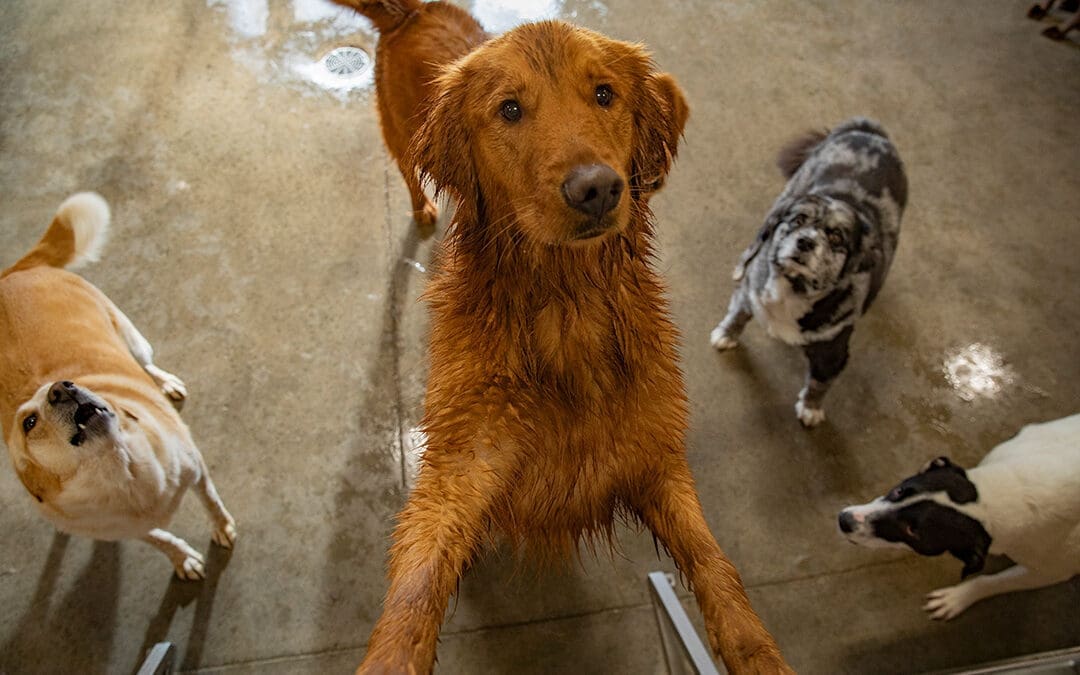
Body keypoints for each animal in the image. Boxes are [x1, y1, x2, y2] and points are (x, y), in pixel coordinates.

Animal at [712, 116, 907, 423]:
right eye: (798, 220)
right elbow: (737, 315)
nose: (805, 241)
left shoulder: (833, 354)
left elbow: (819, 383)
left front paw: (811, 409)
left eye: (837, 237)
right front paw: (725, 334)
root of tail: (869, 131)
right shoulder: (749, 295)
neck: (791, 290)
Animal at [838, 416, 1080, 622]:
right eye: (899, 491)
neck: (995, 496)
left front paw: (956, 598)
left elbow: (989, 581)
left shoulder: (1051, 571)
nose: (844, 520)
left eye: (912, 531)